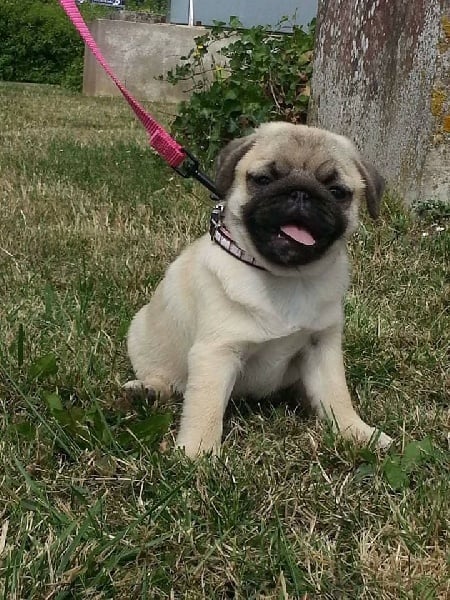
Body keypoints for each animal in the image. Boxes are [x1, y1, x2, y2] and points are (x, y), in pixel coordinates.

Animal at [125, 122, 393, 457]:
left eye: (337, 192)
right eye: (264, 180)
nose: (301, 193)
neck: (286, 277)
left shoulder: (322, 347)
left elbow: (336, 395)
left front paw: (356, 432)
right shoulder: (216, 352)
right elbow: (205, 408)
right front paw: (198, 454)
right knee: (167, 381)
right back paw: (147, 390)